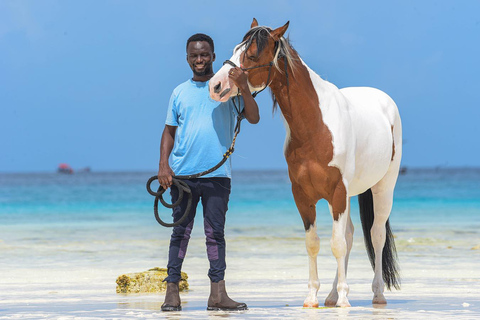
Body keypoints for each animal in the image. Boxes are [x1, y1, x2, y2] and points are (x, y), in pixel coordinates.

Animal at [209, 18, 402, 308]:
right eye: (235, 49)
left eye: (252, 54)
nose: (215, 85)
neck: (315, 126)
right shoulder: (302, 195)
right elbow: (315, 243)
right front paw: (313, 297)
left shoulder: (337, 192)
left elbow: (337, 244)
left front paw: (344, 299)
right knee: (350, 235)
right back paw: (332, 295)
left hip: (382, 187)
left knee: (375, 234)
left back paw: (377, 294)